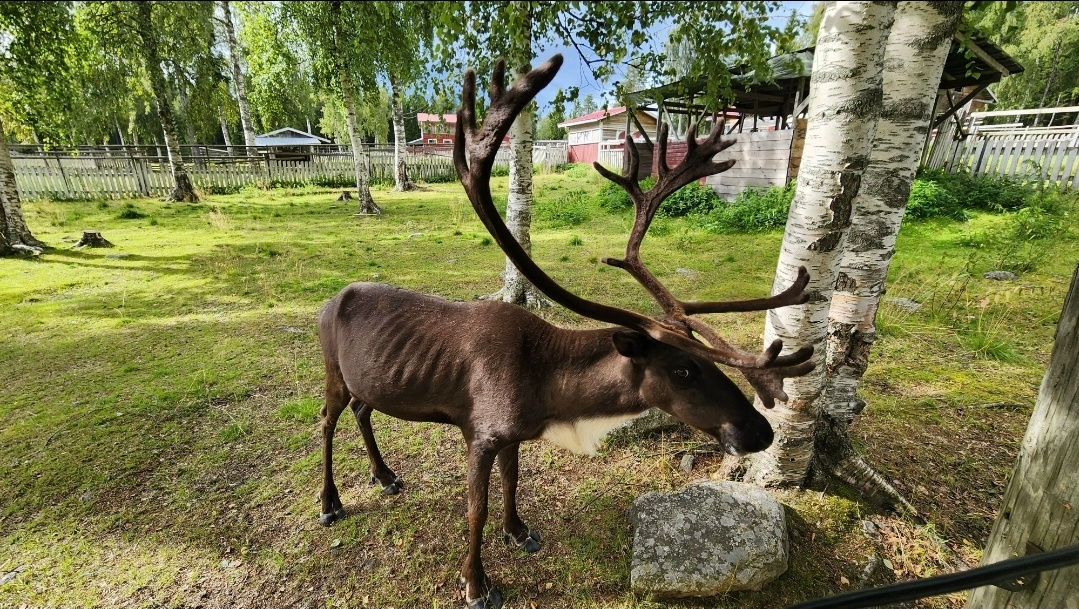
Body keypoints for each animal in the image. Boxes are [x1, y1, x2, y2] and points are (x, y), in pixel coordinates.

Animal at [316, 54, 814, 609]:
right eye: (684, 369)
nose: (760, 430)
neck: (548, 393)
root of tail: (327, 303)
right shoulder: (481, 431)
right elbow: (475, 509)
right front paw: (476, 582)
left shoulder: (512, 433)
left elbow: (513, 484)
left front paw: (519, 531)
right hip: (332, 368)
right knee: (326, 420)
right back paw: (331, 502)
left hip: (367, 380)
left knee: (363, 409)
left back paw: (384, 476)